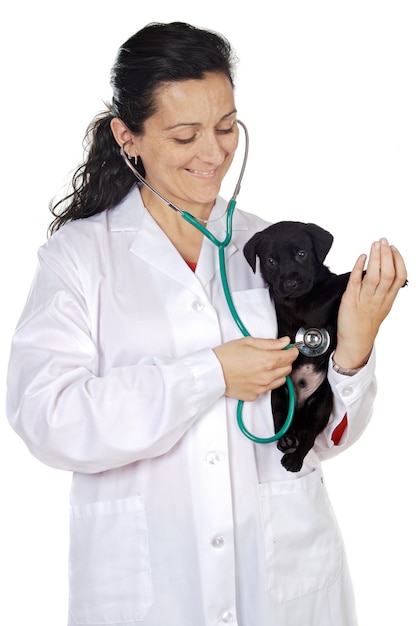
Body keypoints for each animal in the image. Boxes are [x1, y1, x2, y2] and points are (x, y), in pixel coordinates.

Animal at [244, 222, 352, 470]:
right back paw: (288, 448)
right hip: (278, 395)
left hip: (321, 403)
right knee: (282, 421)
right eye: (270, 261)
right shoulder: (308, 309)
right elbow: (338, 283)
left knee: (308, 434)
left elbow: (334, 285)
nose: (290, 284)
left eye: (301, 254)